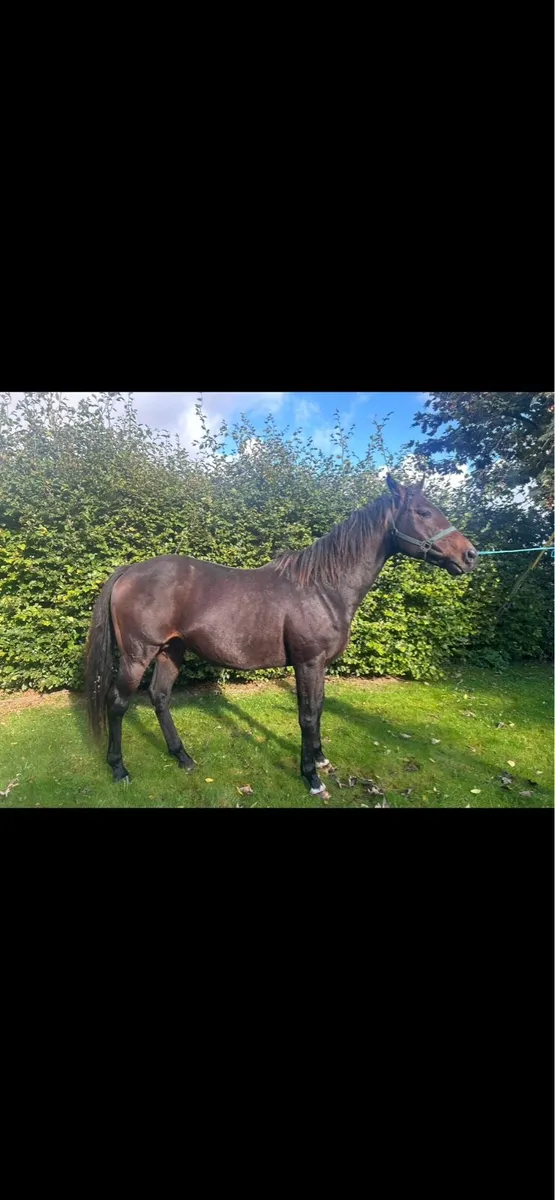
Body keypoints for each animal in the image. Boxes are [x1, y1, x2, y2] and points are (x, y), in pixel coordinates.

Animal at [84, 474, 477, 795]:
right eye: (423, 512)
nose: (470, 555)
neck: (323, 587)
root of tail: (130, 570)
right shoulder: (307, 662)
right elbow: (306, 715)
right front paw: (312, 777)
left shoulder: (320, 665)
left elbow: (319, 708)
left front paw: (320, 759)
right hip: (137, 655)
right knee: (117, 703)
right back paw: (119, 769)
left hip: (172, 650)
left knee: (160, 697)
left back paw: (183, 758)